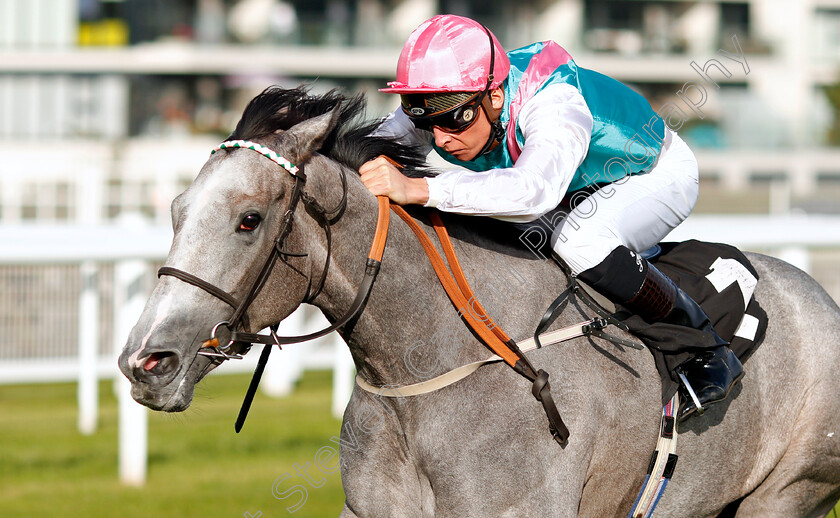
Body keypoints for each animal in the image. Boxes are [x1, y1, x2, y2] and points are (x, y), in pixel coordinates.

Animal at [116, 87, 840, 516]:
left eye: (248, 219)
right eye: (176, 211)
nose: (145, 362)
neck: (429, 372)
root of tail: (819, 298)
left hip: (786, 493)